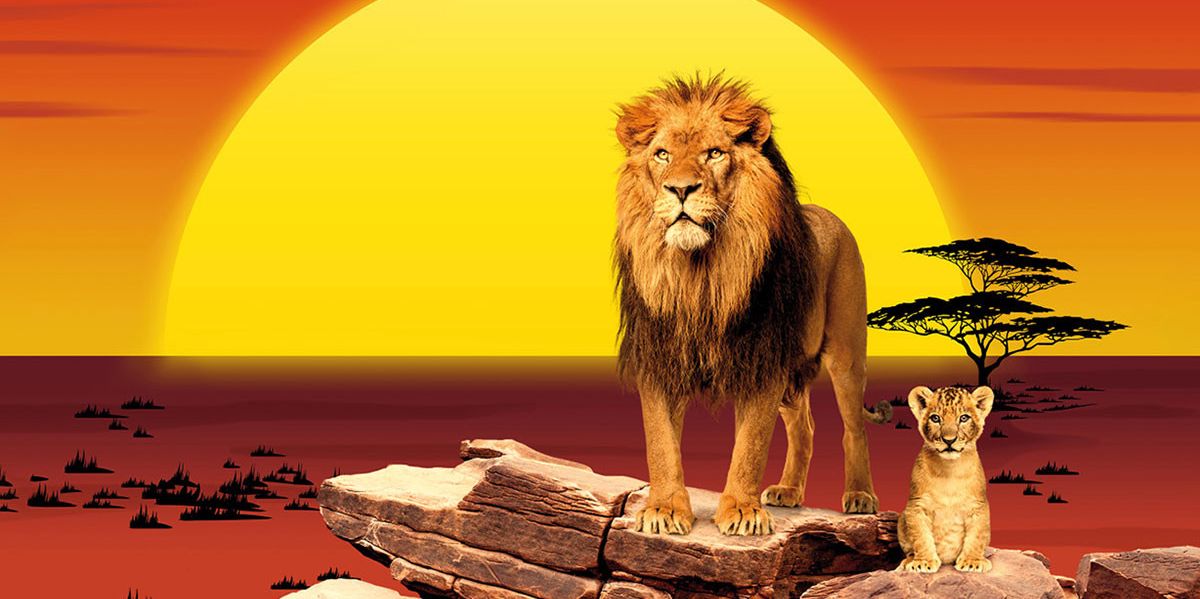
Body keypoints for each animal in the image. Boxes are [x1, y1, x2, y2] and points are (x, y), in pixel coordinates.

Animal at [612, 75, 891, 536]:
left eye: (714, 153)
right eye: (662, 154)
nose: (680, 189)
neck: (700, 273)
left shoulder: (763, 361)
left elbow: (751, 444)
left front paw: (741, 511)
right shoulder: (661, 356)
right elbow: (660, 443)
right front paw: (665, 509)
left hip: (847, 354)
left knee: (854, 429)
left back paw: (861, 496)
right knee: (804, 427)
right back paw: (789, 491)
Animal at [897, 385, 994, 572]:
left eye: (964, 418)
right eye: (935, 418)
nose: (949, 440)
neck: (950, 470)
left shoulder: (978, 506)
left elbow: (976, 536)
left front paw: (972, 562)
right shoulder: (916, 505)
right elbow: (921, 537)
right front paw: (924, 562)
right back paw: (908, 561)